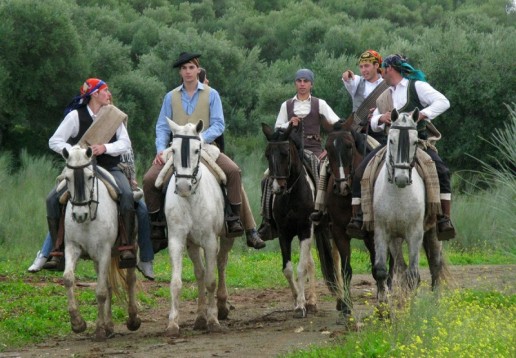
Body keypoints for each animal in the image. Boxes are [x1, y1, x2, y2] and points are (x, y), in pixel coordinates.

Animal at [60, 145, 141, 342]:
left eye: (90, 176)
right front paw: (77, 323)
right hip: (100, 259)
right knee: (109, 285)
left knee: (130, 279)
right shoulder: (73, 248)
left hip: (129, 249)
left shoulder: (104, 251)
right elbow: (68, 279)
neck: (89, 218)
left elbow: (101, 292)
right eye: (67, 178)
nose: (79, 215)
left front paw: (98, 330)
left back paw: (133, 320)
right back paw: (109, 326)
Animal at [162, 119, 235, 336]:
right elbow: (176, 283)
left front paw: (213, 320)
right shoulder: (177, 241)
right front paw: (173, 324)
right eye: (173, 149)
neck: (191, 199)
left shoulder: (210, 241)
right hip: (192, 244)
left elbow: (211, 279)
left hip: (226, 238)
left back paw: (221, 308)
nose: (183, 187)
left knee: (221, 263)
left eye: (196, 150)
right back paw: (200, 317)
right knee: (200, 272)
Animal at [262, 121, 318, 318]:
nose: (277, 187)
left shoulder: (305, 230)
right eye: (267, 154)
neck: (292, 195)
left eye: (285, 154)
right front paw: (296, 300)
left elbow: (301, 268)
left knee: (309, 264)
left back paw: (312, 301)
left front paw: (302, 305)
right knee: (310, 262)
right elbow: (287, 269)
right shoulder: (284, 234)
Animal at [372, 108, 426, 302]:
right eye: (391, 140)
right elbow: (381, 270)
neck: (399, 195)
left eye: (415, 141)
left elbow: (413, 274)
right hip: (395, 239)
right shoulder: (381, 231)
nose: (401, 179)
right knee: (399, 267)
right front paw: (382, 304)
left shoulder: (416, 233)